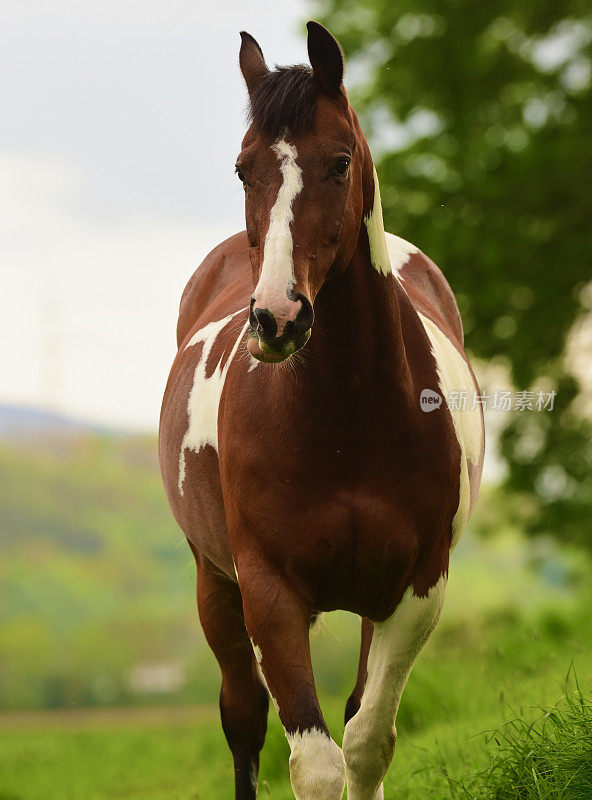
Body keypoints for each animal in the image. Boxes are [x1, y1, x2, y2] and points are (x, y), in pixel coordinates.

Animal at [160, 18, 484, 800]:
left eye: (339, 162)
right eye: (243, 169)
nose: (277, 319)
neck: (346, 417)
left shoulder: (416, 587)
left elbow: (366, 742)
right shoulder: (269, 592)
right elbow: (314, 763)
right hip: (214, 585)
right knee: (243, 720)